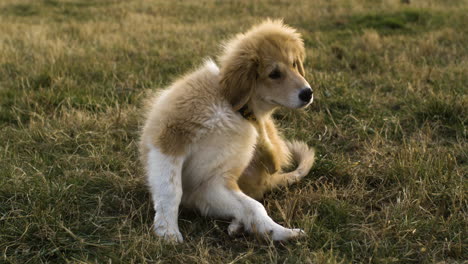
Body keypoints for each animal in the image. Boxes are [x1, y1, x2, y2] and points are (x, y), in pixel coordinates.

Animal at [139, 19, 314, 242]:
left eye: (294, 64)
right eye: (274, 74)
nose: (308, 93)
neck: (233, 110)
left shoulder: (213, 182)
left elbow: (254, 207)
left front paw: (279, 231)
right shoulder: (169, 140)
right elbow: (171, 190)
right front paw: (167, 232)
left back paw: (244, 227)